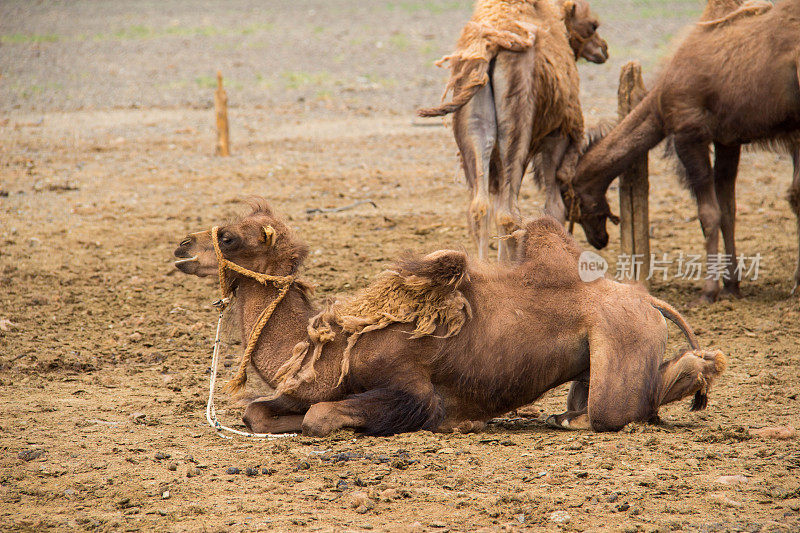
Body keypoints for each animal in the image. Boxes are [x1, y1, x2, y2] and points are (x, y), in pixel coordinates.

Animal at [170, 200, 724, 436]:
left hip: (624, 339)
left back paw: (700, 367)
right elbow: (256, 412)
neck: (334, 349)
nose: (180, 248)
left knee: (621, 408)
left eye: (228, 238)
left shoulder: (409, 385)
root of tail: (647, 300)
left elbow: (320, 416)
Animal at [418, 0, 608, 262]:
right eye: (592, 25)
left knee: (481, 207)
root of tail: (491, 47)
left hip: (475, 123)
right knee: (508, 211)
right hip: (517, 125)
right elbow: (554, 208)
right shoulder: (557, 136)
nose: (603, 49)